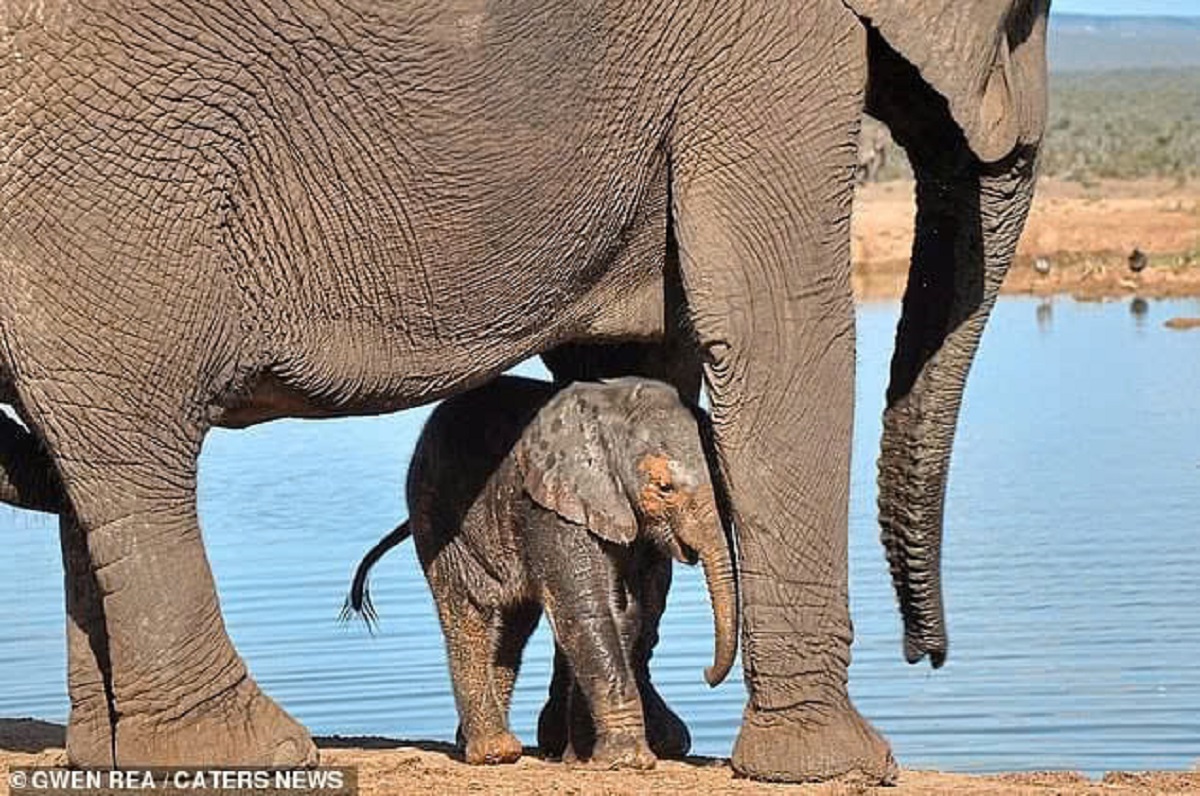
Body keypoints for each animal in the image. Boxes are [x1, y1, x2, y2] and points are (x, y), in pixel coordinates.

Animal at [348, 376, 734, 768]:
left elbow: (629, 614)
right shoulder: (551, 509)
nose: (707, 674)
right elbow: (585, 611)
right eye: (664, 487)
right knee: (468, 611)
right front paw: (627, 760)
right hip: (436, 514)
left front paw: (581, 757)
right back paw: (494, 753)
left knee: (513, 626)